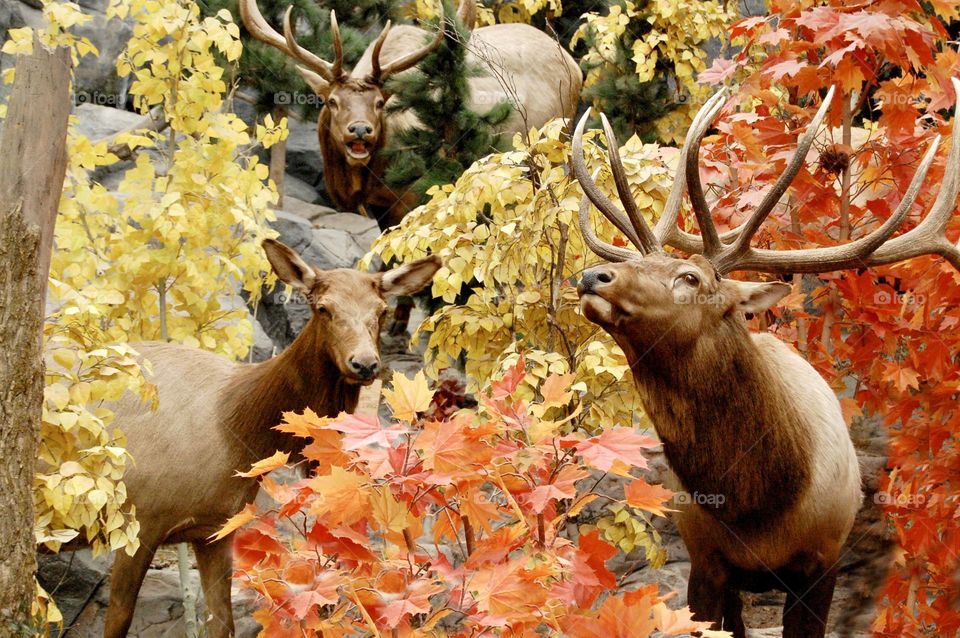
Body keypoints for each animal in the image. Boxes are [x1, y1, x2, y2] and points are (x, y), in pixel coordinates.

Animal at [95, 241, 440, 638]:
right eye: (323, 308)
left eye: (381, 310)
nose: (364, 363)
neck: (235, 432)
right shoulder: (138, 521)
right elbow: (118, 620)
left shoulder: (215, 531)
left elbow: (223, 622)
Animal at [572, 80, 956, 638]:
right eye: (639, 262)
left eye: (691, 278)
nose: (592, 276)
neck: (759, 507)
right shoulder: (704, 561)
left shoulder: (823, 561)